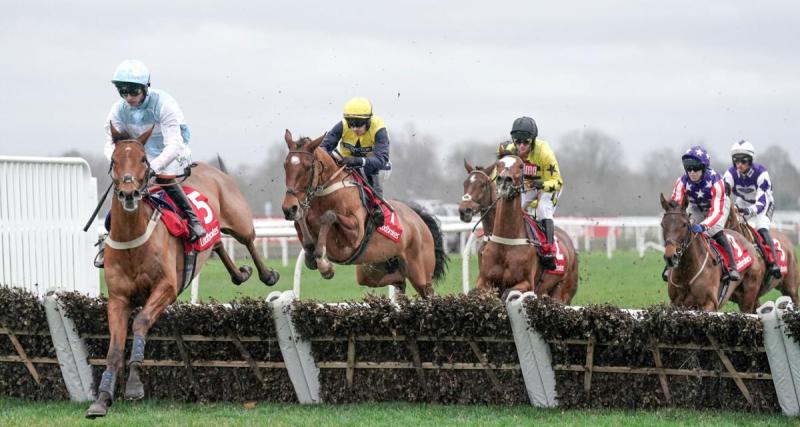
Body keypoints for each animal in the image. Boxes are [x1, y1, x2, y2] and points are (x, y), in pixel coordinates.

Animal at [87, 125, 280, 420]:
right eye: (114, 161)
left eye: (143, 159)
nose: (129, 193)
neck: (133, 241)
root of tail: (211, 168)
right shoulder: (118, 298)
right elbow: (114, 350)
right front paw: (102, 399)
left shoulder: (167, 287)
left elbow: (141, 321)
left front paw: (134, 384)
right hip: (213, 234)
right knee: (217, 243)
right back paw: (239, 274)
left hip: (239, 219)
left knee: (247, 239)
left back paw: (266, 274)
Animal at [282, 130, 446, 298]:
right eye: (285, 165)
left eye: (308, 167)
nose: (288, 208)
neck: (328, 193)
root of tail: (419, 220)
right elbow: (300, 221)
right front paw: (310, 255)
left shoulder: (354, 236)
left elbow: (329, 216)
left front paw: (324, 264)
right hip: (371, 270)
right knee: (399, 280)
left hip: (420, 272)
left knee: (428, 292)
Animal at [472, 155, 580, 302]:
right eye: (498, 164)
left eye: (521, 166)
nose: (504, 180)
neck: (506, 242)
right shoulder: (484, 280)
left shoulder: (527, 283)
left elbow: (509, 294)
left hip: (562, 292)